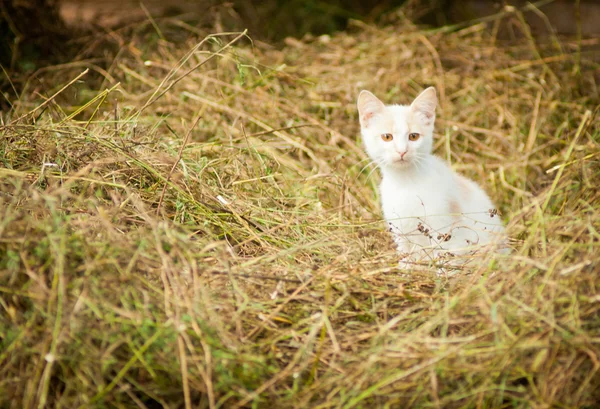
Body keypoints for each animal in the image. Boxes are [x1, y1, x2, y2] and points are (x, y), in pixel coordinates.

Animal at [356, 87, 506, 270]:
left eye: (413, 136)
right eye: (387, 137)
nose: (402, 151)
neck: (406, 181)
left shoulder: (446, 228)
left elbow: (445, 256)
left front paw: (443, 273)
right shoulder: (400, 229)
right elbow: (406, 253)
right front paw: (405, 269)